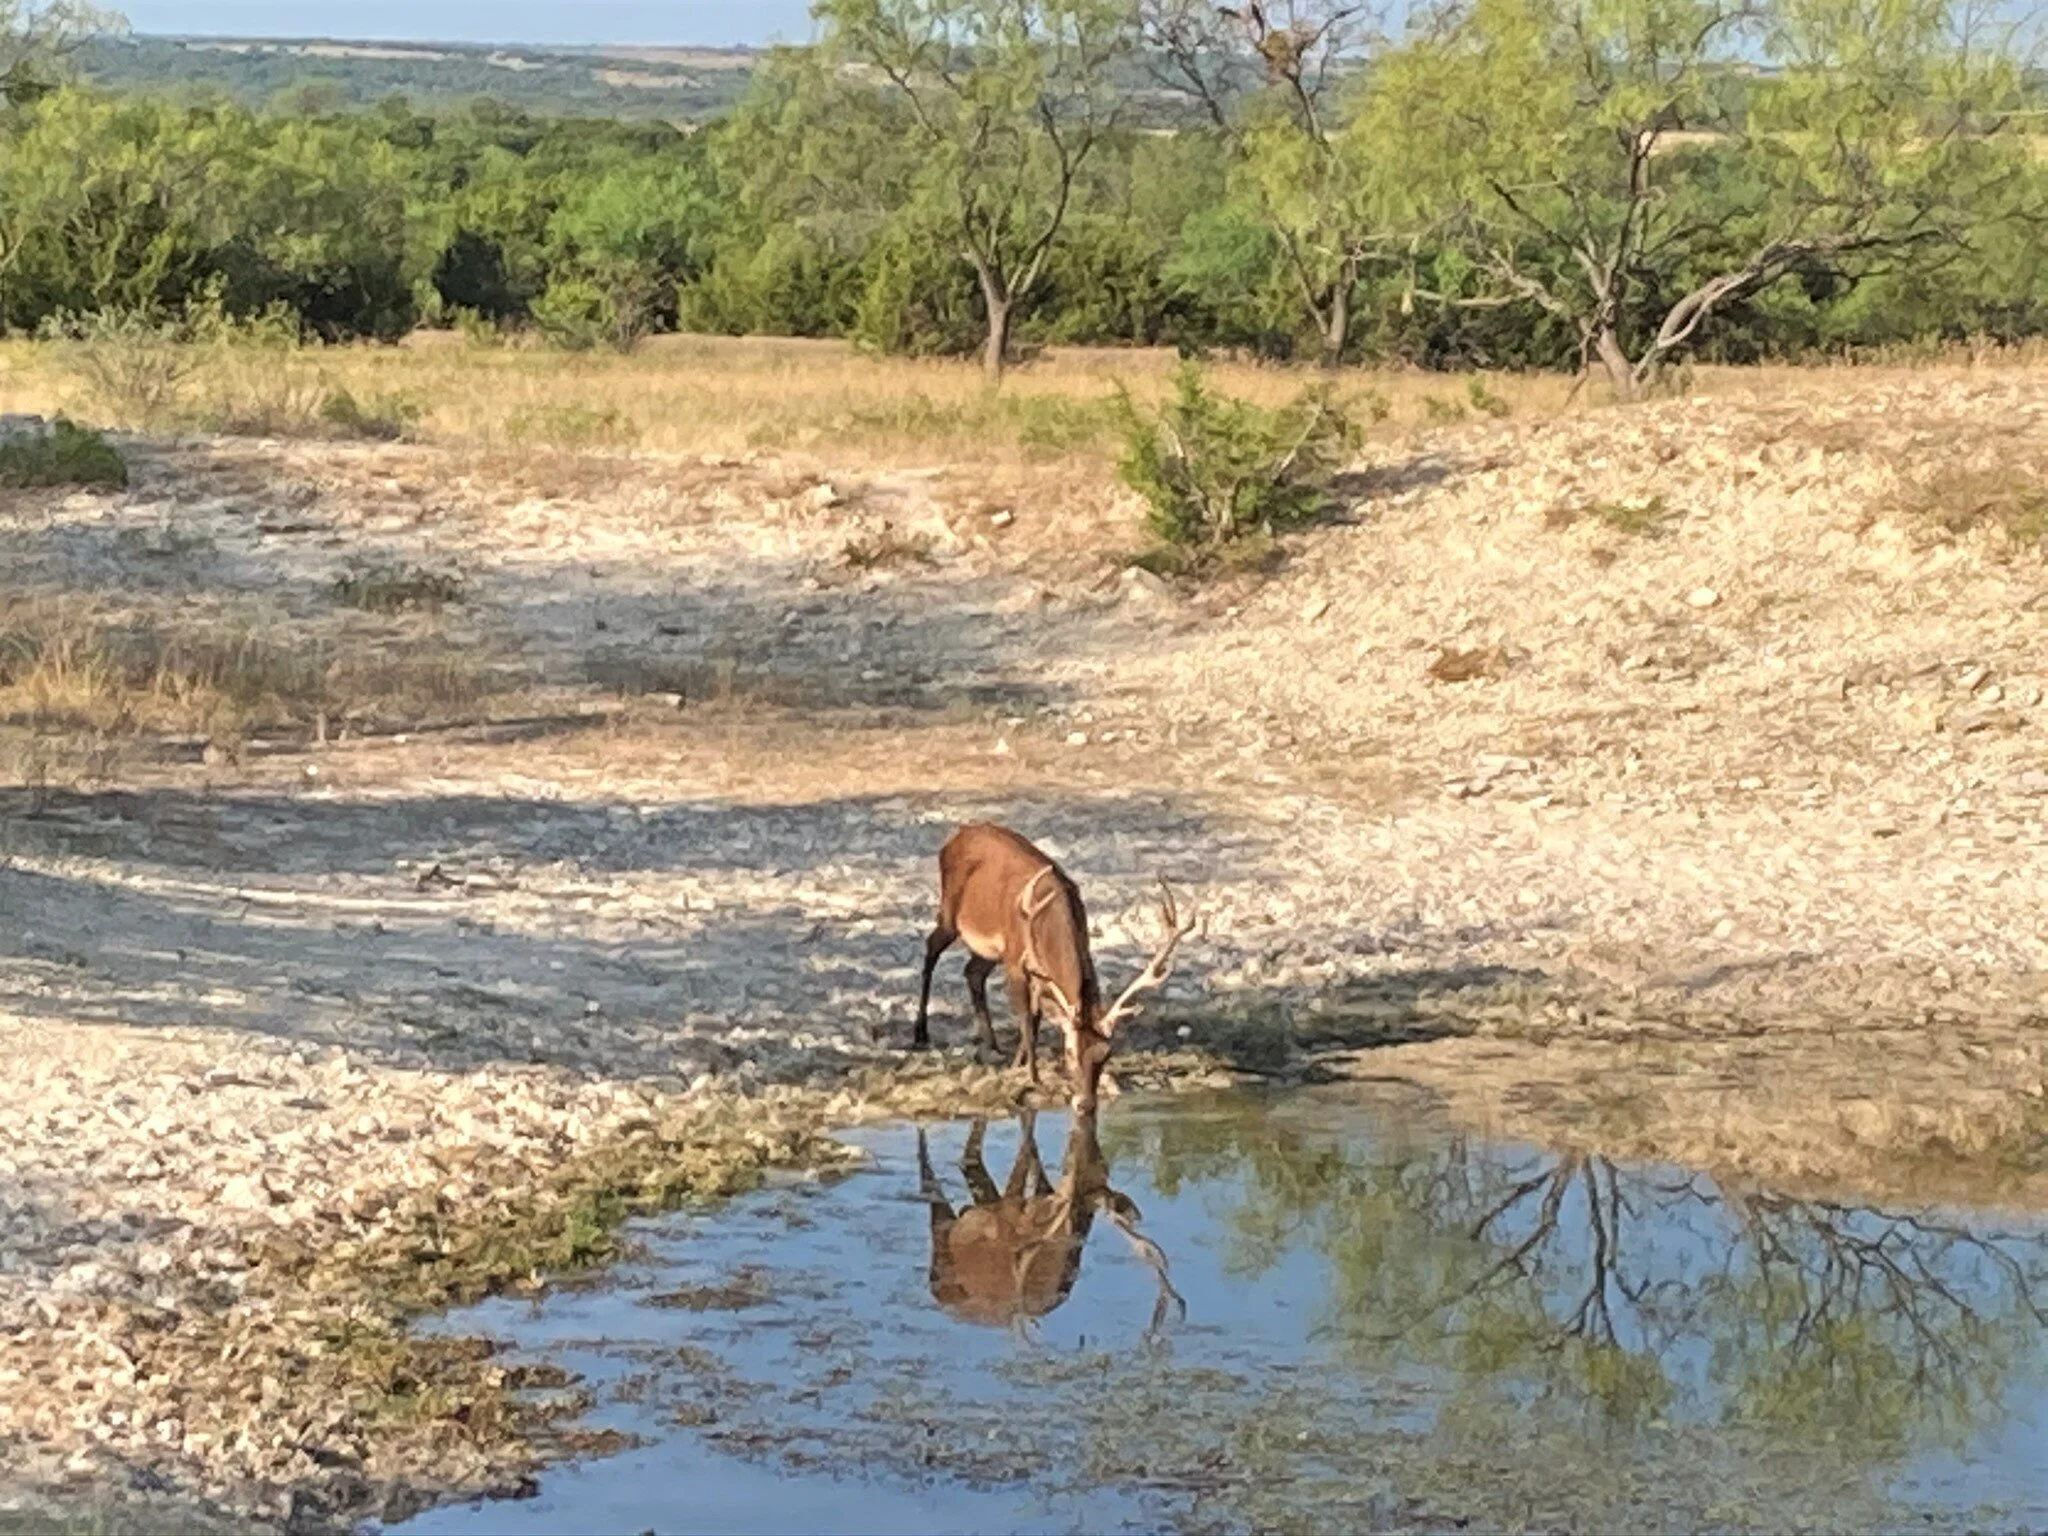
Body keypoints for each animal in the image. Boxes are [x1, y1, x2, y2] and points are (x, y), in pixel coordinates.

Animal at [911, 822, 1194, 1111]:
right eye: (1069, 1052)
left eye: (1106, 1054)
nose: (1086, 1103)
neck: (1051, 923)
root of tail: (959, 833)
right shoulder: (1015, 958)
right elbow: (1026, 1017)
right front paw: (1031, 1076)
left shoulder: (1040, 968)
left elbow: (1036, 1018)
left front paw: (1018, 1063)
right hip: (950, 914)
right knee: (931, 949)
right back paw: (921, 1032)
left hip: (988, 951)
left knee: (972, 972)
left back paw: (993, 1045)